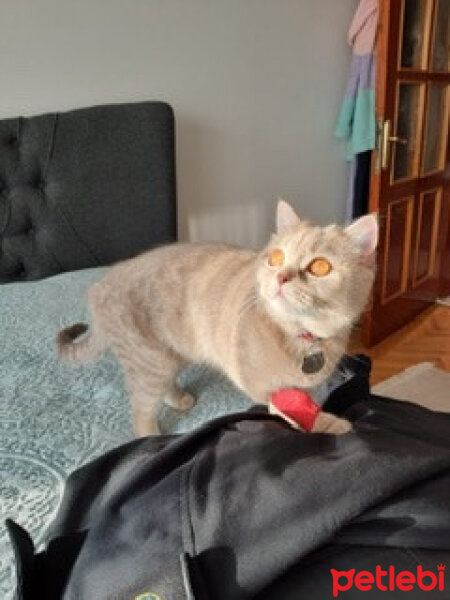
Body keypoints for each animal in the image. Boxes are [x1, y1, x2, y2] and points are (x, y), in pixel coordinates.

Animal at [58, 202, 378, 436]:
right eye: (275, 258)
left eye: (320, 266)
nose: (281, 276)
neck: (301, 339)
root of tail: (99, 287)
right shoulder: (267, 389)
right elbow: (292, 411)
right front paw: (329, 424)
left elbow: (310, 400)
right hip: (149, 361)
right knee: (141, 409)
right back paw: (150, 437)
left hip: (166, 357)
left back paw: (178, 398)